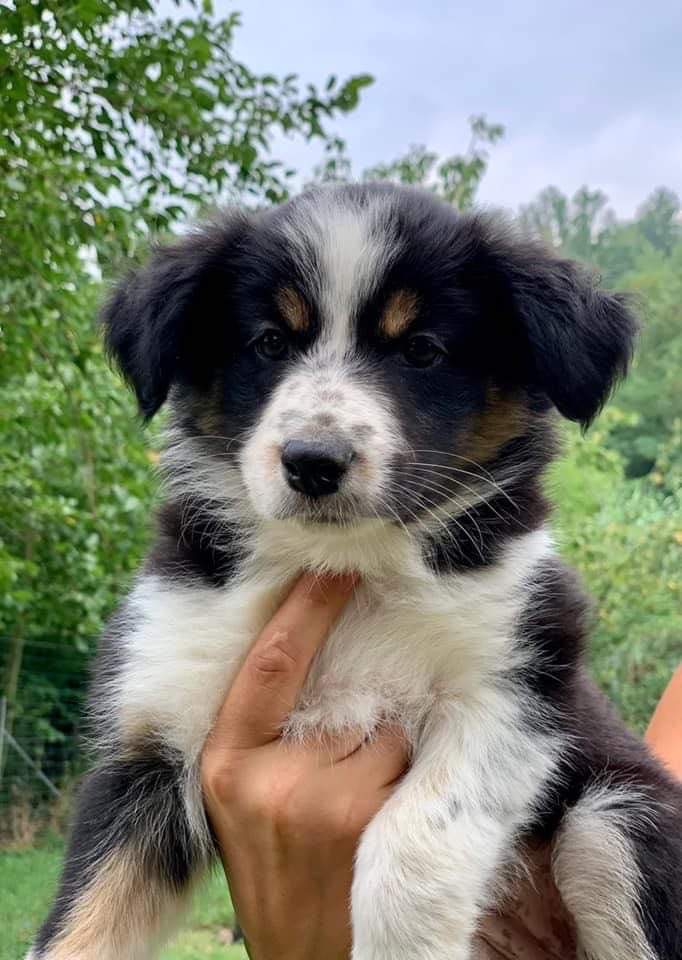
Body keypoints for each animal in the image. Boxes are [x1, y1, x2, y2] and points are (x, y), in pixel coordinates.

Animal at [30, 184, 682, 959]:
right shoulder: (151, 733)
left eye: (422, 350)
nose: (314, 461)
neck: (353, 570)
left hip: (619, 818)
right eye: (269, 342)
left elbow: (414, 843)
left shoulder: (520, 685)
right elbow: (84, 922)